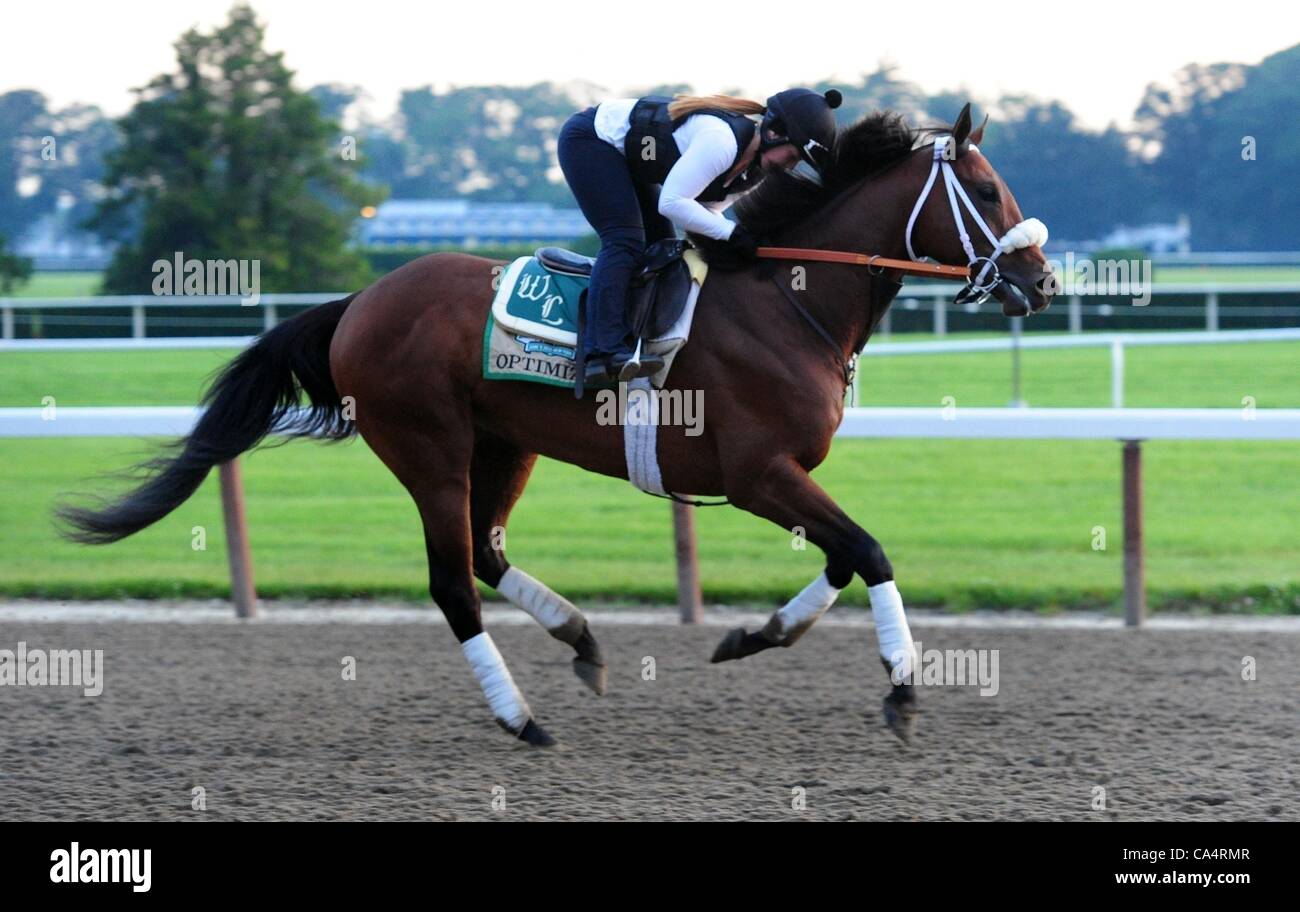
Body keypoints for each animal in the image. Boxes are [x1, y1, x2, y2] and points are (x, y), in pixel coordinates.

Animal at [63, 105, 1055, 748]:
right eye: (986, 190)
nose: (1043, 281)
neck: (788, 297)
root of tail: (359, 302)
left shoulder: (779, 477)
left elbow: (845, 557)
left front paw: (752, 636)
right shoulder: (756, 474)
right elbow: (872, 551)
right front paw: (903, 689)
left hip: (505, 443)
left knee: (484, 552)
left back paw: (578, 637)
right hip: (429, 448)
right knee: (451, 582)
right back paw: (520, 717)